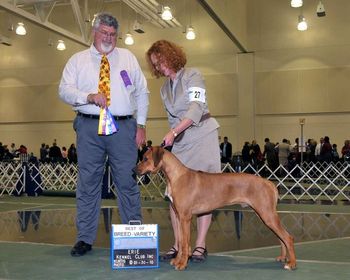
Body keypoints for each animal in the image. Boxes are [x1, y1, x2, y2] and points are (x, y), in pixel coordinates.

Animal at [135, 147, 296, 272]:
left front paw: (182, 264)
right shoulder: (179, 217)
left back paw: (292, 263)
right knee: (281, 237)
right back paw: (283, 258)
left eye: (145, 158)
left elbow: (185, 243)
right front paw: (178, 260)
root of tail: (269, 183)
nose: (133, 170)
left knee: (288, 237)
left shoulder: (185, 217)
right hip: (265, 216)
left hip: (267, 215)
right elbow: (180, 241)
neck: (176, 176)